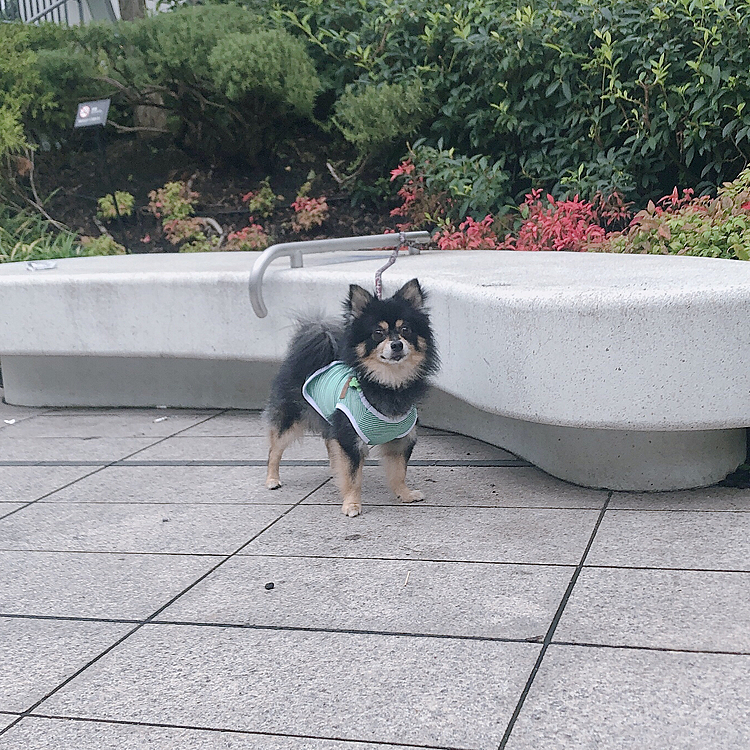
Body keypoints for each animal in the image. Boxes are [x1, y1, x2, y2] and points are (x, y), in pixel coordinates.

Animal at [266, 280, 438, 520]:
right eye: (378, 333)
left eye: (406, 330)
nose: (397, 345)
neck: (388, 384)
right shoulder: (350, 438)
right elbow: (354, 476)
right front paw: (352, 504)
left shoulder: (401, 439)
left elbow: (399, 471)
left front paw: (404, 494)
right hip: (291, 419)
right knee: (275, 449)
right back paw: (272, 479)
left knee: (330, 444)